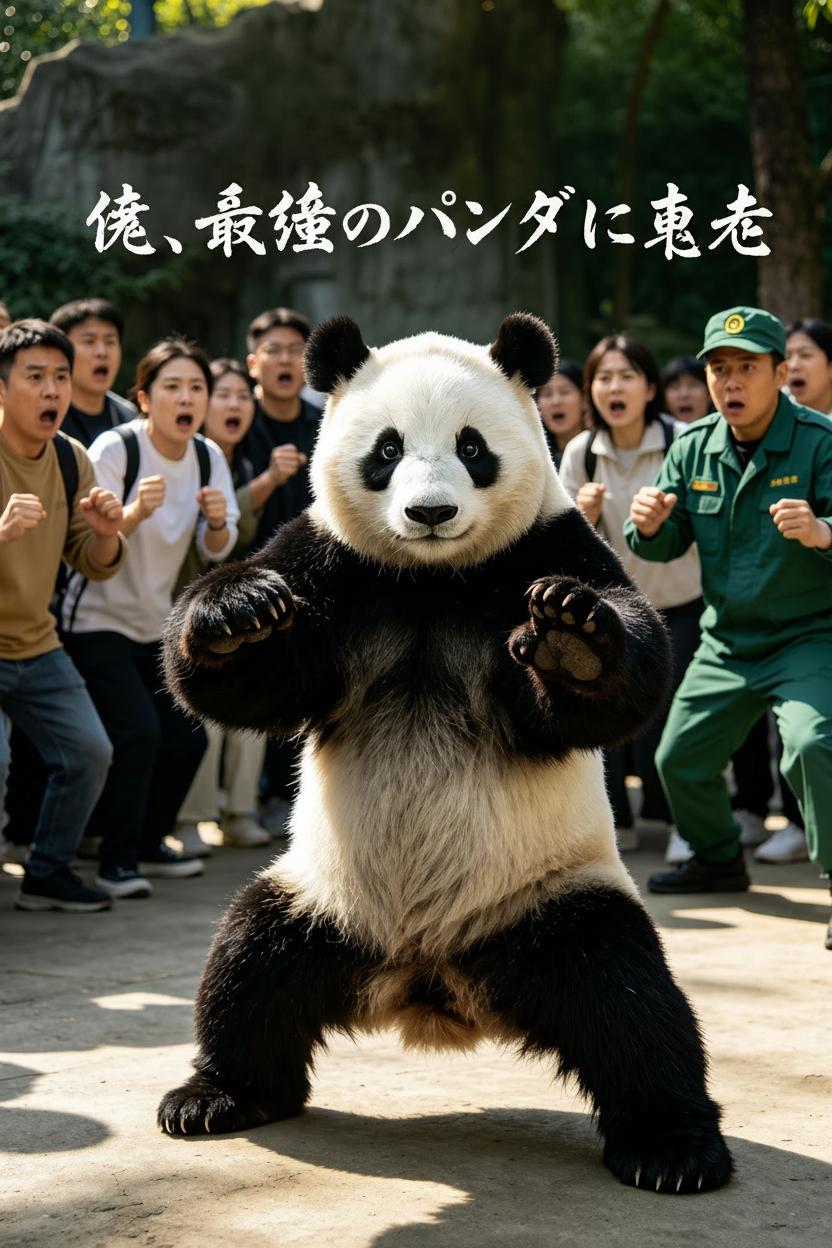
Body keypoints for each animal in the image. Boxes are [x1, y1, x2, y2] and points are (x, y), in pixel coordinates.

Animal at [157, 313, 732, 1195]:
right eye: (387, 448)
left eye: (471, 446)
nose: (430, 512)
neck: (432, 578)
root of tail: (429, 979)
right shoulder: (334, 563)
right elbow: (242, 681)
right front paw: (238, 613)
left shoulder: (545, 545)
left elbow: (623, 676)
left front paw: (571, 641)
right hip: (324, 898)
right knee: (250, 965)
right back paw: (216, 1096)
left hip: (552, 895)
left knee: (629, 1000)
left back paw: (674, 1149)